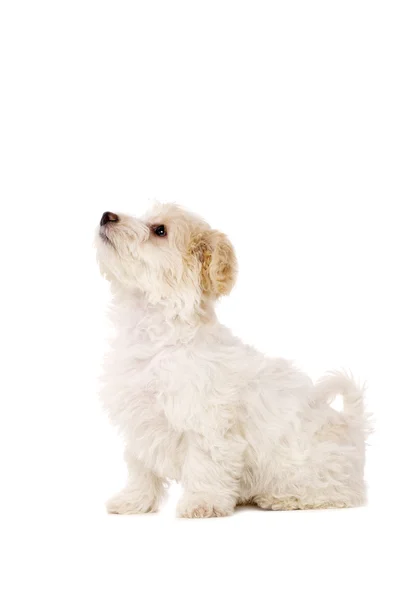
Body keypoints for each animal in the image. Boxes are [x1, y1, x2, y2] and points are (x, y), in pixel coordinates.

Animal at [95, 204, 370, 516]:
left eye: (159, 230)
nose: (106, 215)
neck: (155, 335)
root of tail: (351, 424)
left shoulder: (206, 423)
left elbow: (205, 463)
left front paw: (202, 503)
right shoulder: (140, 421)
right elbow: (140, 467)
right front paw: (133, 500)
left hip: (310, 468)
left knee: (337, 492)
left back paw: (284, 498)